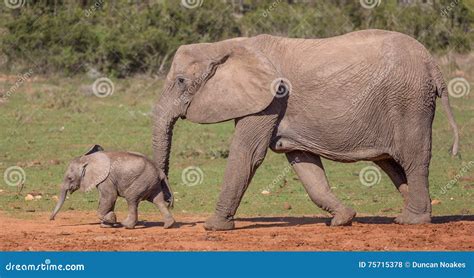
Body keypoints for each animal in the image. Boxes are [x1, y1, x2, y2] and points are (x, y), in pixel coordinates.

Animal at [152, 29, 460, 230]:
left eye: (180, 81)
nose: (171, 202)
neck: (226, 45)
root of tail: (432, 64)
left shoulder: (271, 99)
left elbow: (247, 154)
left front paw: (213, 227)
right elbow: (305, 165)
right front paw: (343, 219)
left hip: (409, 101)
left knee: (413, 159)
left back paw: (412, 221)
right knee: (391, 163)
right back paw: (415, 214)